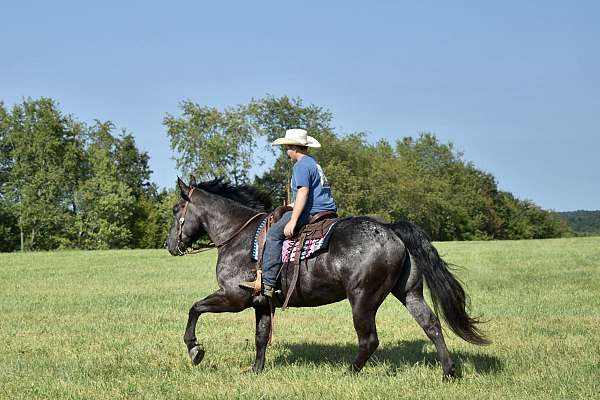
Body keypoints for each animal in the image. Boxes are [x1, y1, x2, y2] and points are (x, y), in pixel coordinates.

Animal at [166, 176, 490, 378]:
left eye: (175, 210)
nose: (170, 246)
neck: (239, 236)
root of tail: (390, 228)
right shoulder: (261, 304)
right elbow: (261, 337)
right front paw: (256, 370)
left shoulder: (234, 297)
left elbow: (194, 308)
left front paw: (195, 349)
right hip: (409, 293)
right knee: (431, 325)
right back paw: (448, 372)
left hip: (362, 299)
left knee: (369, 339)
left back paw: (350, 371)